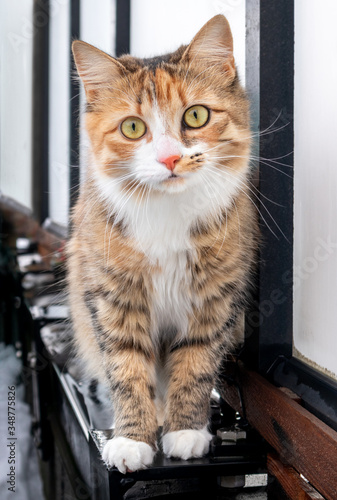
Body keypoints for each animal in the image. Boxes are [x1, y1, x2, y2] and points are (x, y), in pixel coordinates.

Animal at [67, 14, 258, 472]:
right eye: (133, 127)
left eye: (196, 115)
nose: (170, 158)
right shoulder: (113, 296)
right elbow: (127, 369)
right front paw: (131, 440)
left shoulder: (214, 299)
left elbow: (195, 365)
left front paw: (185, 432)